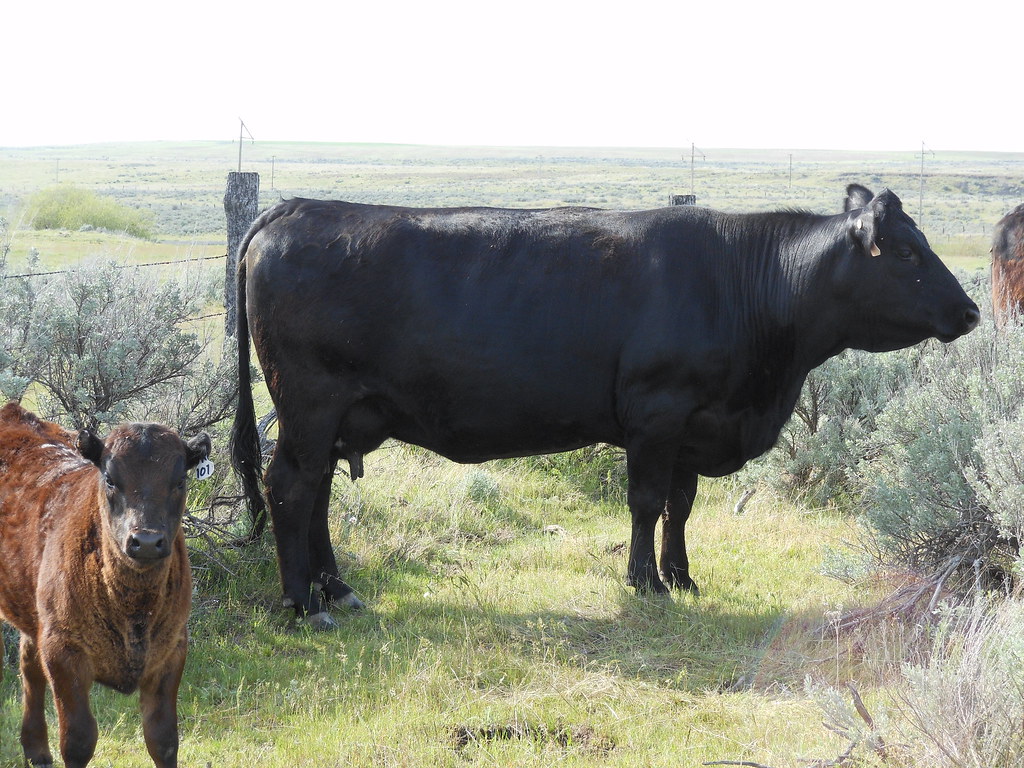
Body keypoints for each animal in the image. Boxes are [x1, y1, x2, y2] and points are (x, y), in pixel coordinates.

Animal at [0, 402, 210, 768]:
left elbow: (163, 738)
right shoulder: (63, 651)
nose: (146, 541)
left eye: (180, 480)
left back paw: (37, 750)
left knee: (29, 664)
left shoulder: (172, 648)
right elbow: (79, 739)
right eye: (110, 479)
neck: (133, 609)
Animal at [230, 183, 980, 629]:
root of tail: (298, 206)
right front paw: (644, 580)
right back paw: (302, 603)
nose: (972, 310)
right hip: (310, 402)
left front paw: (682, 576)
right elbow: (646, 501)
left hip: (335, 416)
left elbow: (680, 504)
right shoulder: (658, 411)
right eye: (906, 251)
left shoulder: (693, 423)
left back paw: (337, 589)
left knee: (317, 493)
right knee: (290, 487)